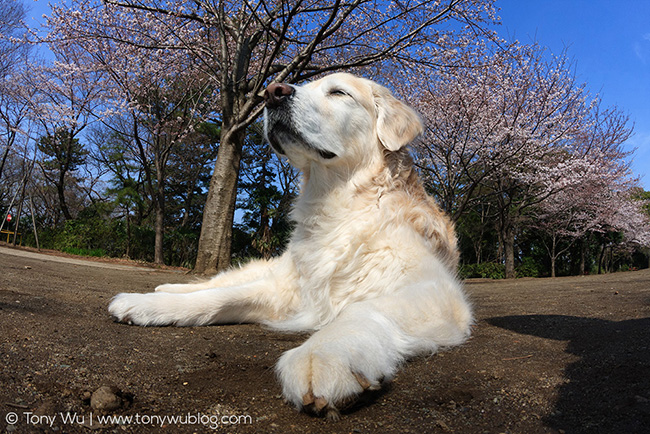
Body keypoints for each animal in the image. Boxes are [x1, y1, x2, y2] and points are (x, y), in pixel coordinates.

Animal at [109, 73, 474, 418]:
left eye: (338, 92)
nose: (272, 92)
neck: (337, 207)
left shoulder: (436, 291)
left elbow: (359, 308)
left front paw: (322, 353)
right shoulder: (288, 289)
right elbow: (219, 298)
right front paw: (148, 306)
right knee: (217, 282)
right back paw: (161, 291)